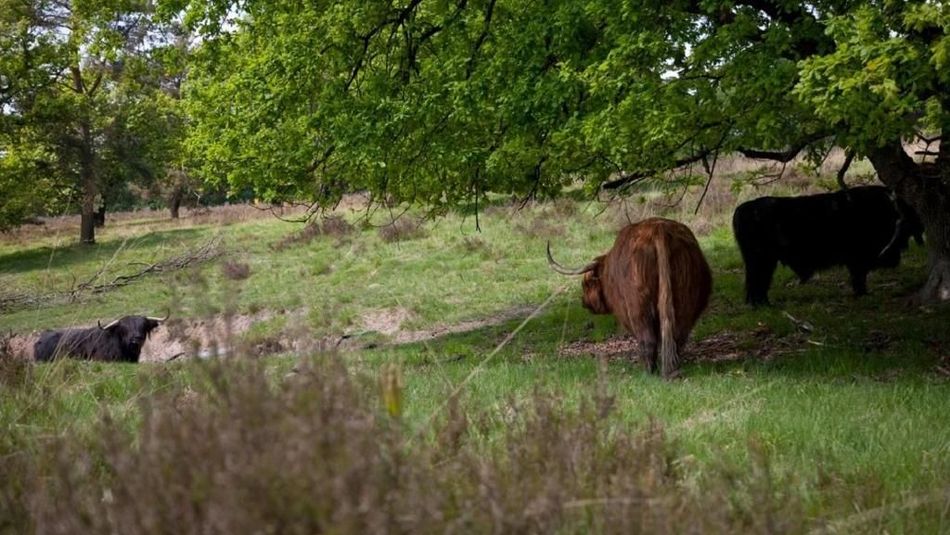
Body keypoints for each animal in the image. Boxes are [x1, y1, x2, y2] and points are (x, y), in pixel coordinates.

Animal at [547, 217, 712, 378]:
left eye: (585, 285)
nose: (583, 302)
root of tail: (658, 230)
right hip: (685, 299)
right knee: (677, 336)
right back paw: (673, 370)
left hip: (638, 305)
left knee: (648, 339)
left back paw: (648, 373)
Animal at [732, 185, 924, 306]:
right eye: (902, 226)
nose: (894, 256)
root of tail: (743, 209)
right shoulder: (857, 258)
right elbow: (859, 277)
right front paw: (863, 294)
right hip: (761, 259)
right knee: (757, 282)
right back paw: (762, 305)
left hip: (762, 260)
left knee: (757, 283)